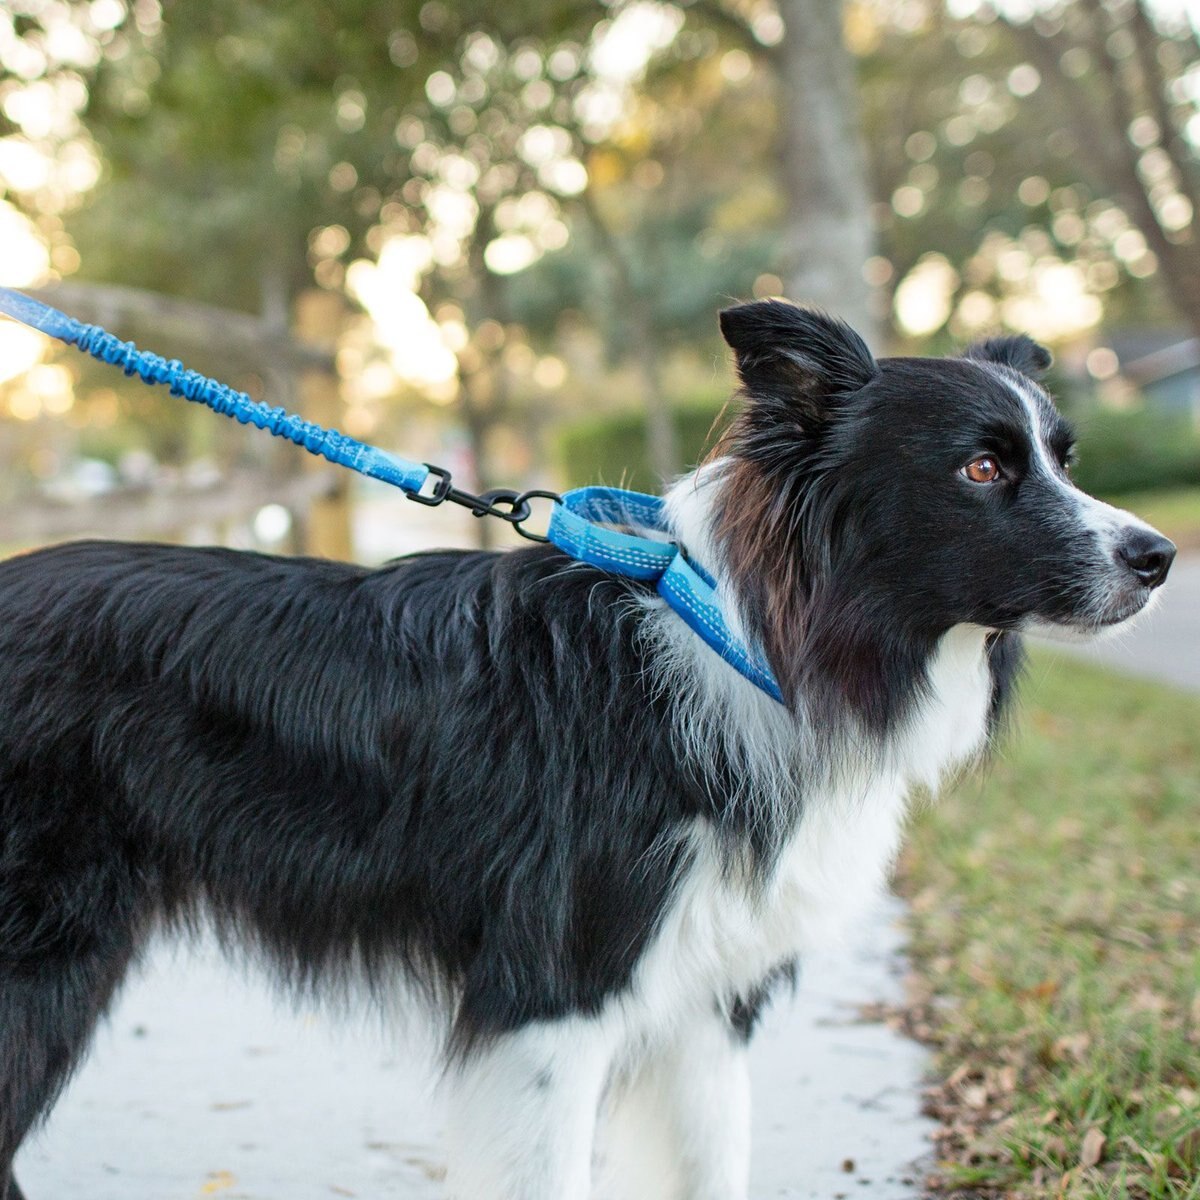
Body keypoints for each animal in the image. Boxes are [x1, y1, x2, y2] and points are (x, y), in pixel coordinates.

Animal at [0, 292, 1176, 1200]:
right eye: (981, 470)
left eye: (1063, 457)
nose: (1161, 555)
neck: (750, 641)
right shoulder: (554, 1000)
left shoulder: (703, 1007)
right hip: (42, 957)